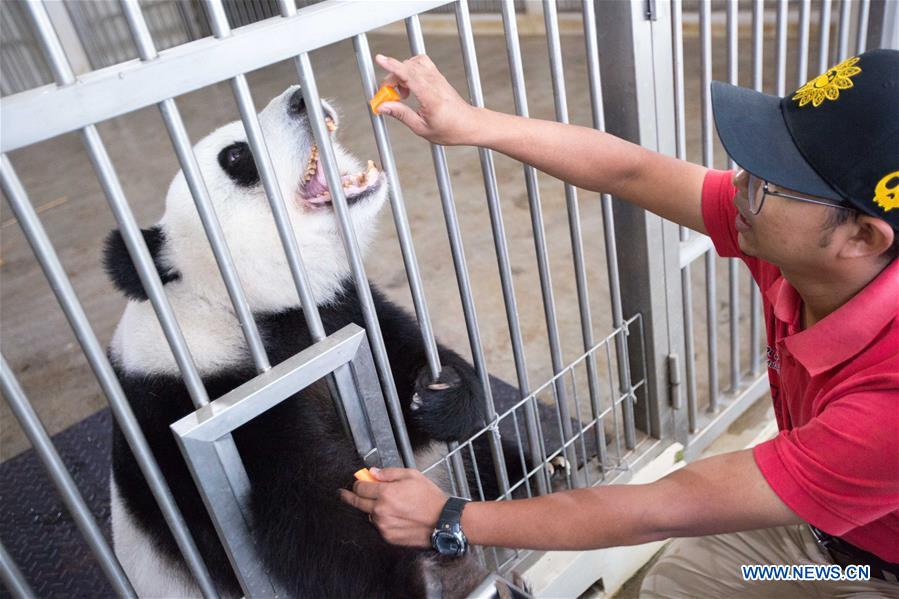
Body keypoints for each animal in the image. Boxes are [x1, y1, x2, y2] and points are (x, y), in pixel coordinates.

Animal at [106, 86, 524, 596]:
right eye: (235, 155)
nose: (299, 98)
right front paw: (407, 577)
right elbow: (307, 516)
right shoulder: (203, 401)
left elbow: (398, 395)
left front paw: (442, 397)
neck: (233, 305)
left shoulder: (342, 309)